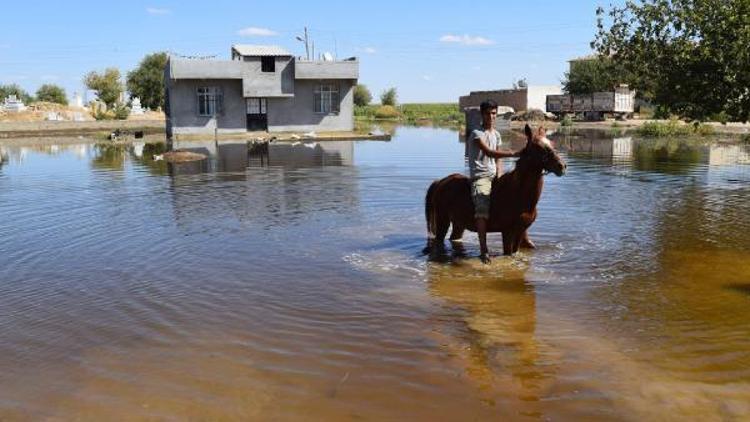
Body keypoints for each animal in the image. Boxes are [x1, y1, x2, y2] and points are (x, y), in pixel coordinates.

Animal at [426, 124, 568, 258]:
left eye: (552, 144)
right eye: (539, 147)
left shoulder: (520, 231)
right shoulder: (507, 232)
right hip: (443, 221)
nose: (562, 166)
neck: (518, 194)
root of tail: (441, 182)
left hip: (458, 223)